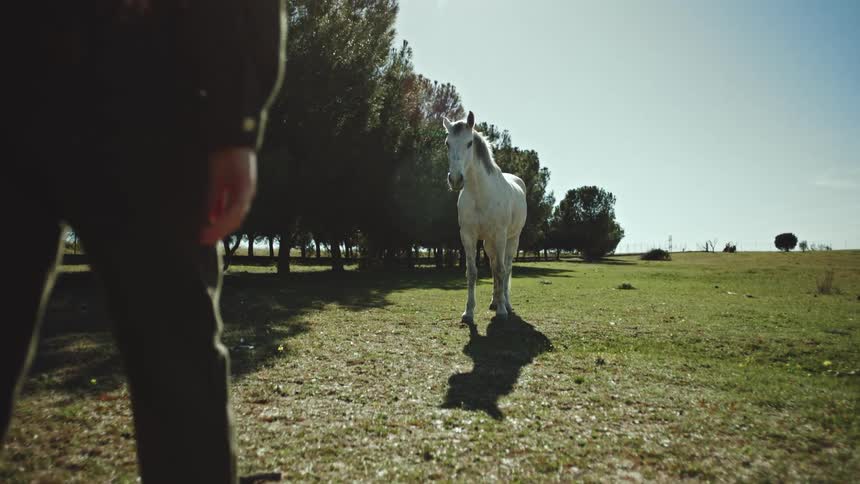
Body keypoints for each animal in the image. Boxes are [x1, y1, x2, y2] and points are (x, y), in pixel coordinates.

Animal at [443, 111, 527, 322]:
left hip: (512, 239)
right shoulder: (468, 236)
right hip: (489, 243)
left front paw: (503, 311)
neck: (480, 193)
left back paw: (506, 303)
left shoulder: (500, 236)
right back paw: (494, 301)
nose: (455, 179)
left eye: (469, 143)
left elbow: (501, 271)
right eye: (447, 143)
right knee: (494, 265)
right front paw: (468, 312)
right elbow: (472, 272)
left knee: (506, 267)